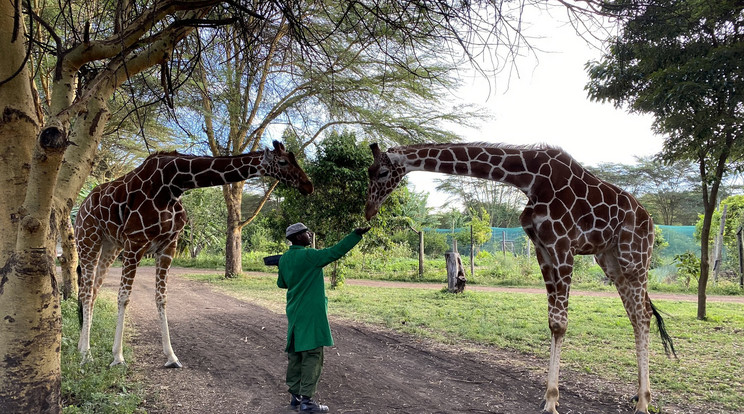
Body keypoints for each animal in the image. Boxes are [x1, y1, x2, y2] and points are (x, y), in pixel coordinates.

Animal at [72, 141, 310, 368]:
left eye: (293, 158)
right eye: (283, 162)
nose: (308, 185)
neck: (173, 184)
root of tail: (81, 206)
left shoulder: (168, 246)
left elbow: (161, 298)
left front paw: (171, 357)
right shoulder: (135, 242)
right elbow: (124, 297)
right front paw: (118, 357)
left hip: (110, 246)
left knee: (92, 291)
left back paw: (82, 347)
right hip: (88, 240)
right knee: (86, 292)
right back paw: (86, 354)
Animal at [364, 143, 676, 414]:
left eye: (382, 172)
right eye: (369, 171)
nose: (369, 210)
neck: (530, 179)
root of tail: (649, 219)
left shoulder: (563, 247)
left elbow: (561, 323)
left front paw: (551, 401)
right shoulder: (542, 250)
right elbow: (552, 321)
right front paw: (549, 397)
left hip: (634, 257)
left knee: (643, 314)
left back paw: (643, 402)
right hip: (610, 260)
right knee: (638, 313)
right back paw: (638, 395)